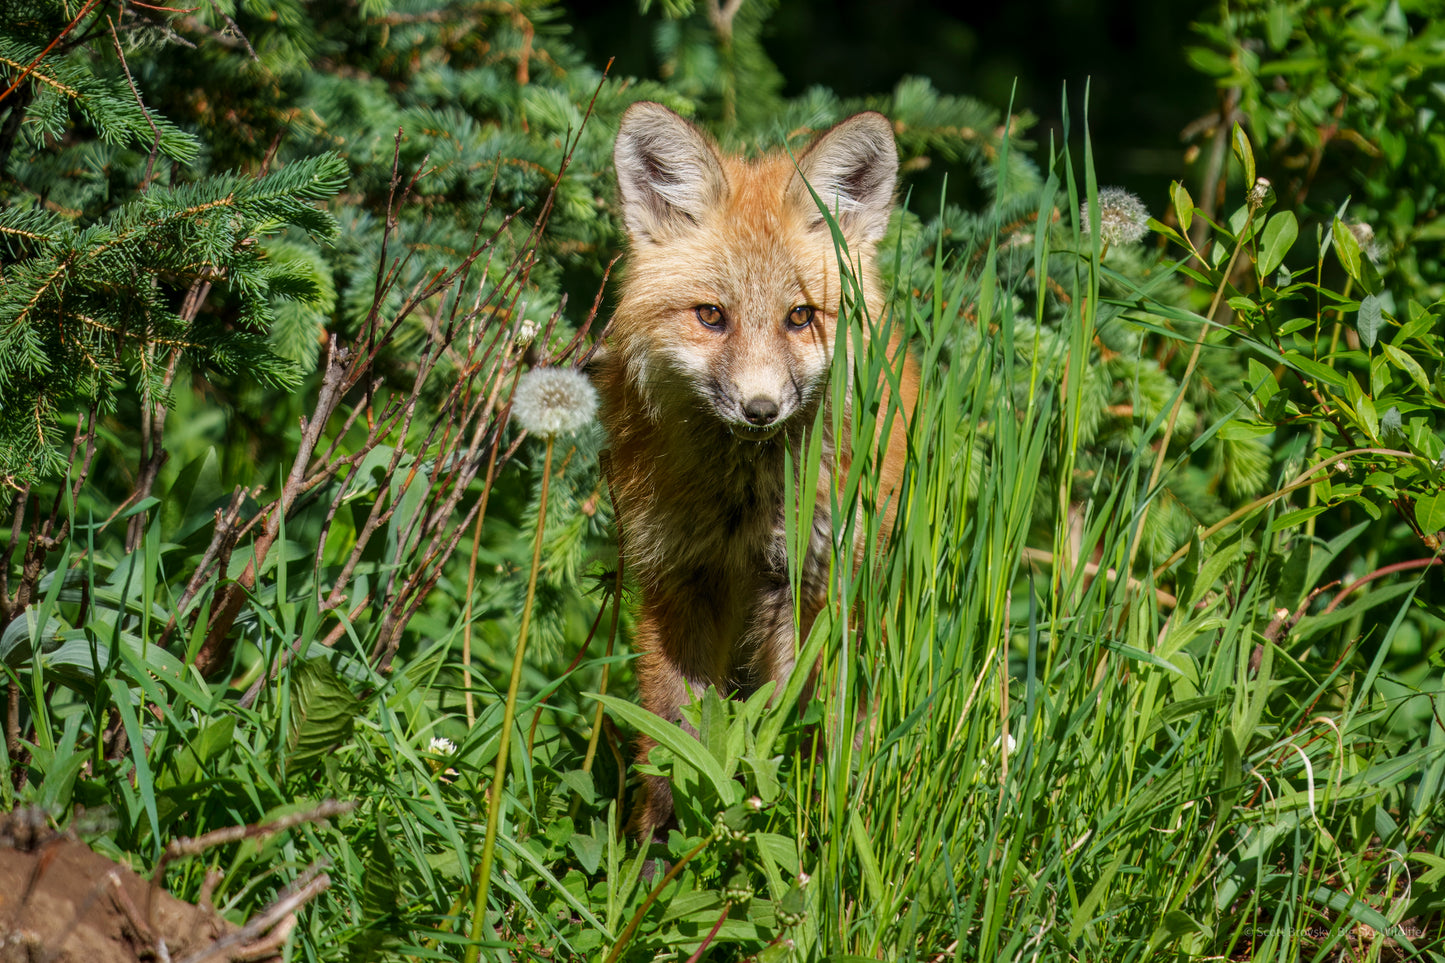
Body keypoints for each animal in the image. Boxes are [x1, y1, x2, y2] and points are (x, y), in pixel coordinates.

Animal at [597, 102, 919, 838]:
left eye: (800, 317)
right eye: (711, 315)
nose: (760, 409)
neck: (741, 508)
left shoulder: (810, 585)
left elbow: (809, 728)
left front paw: (818, 831)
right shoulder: (678, 578)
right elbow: (676, 738)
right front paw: (655, 849)